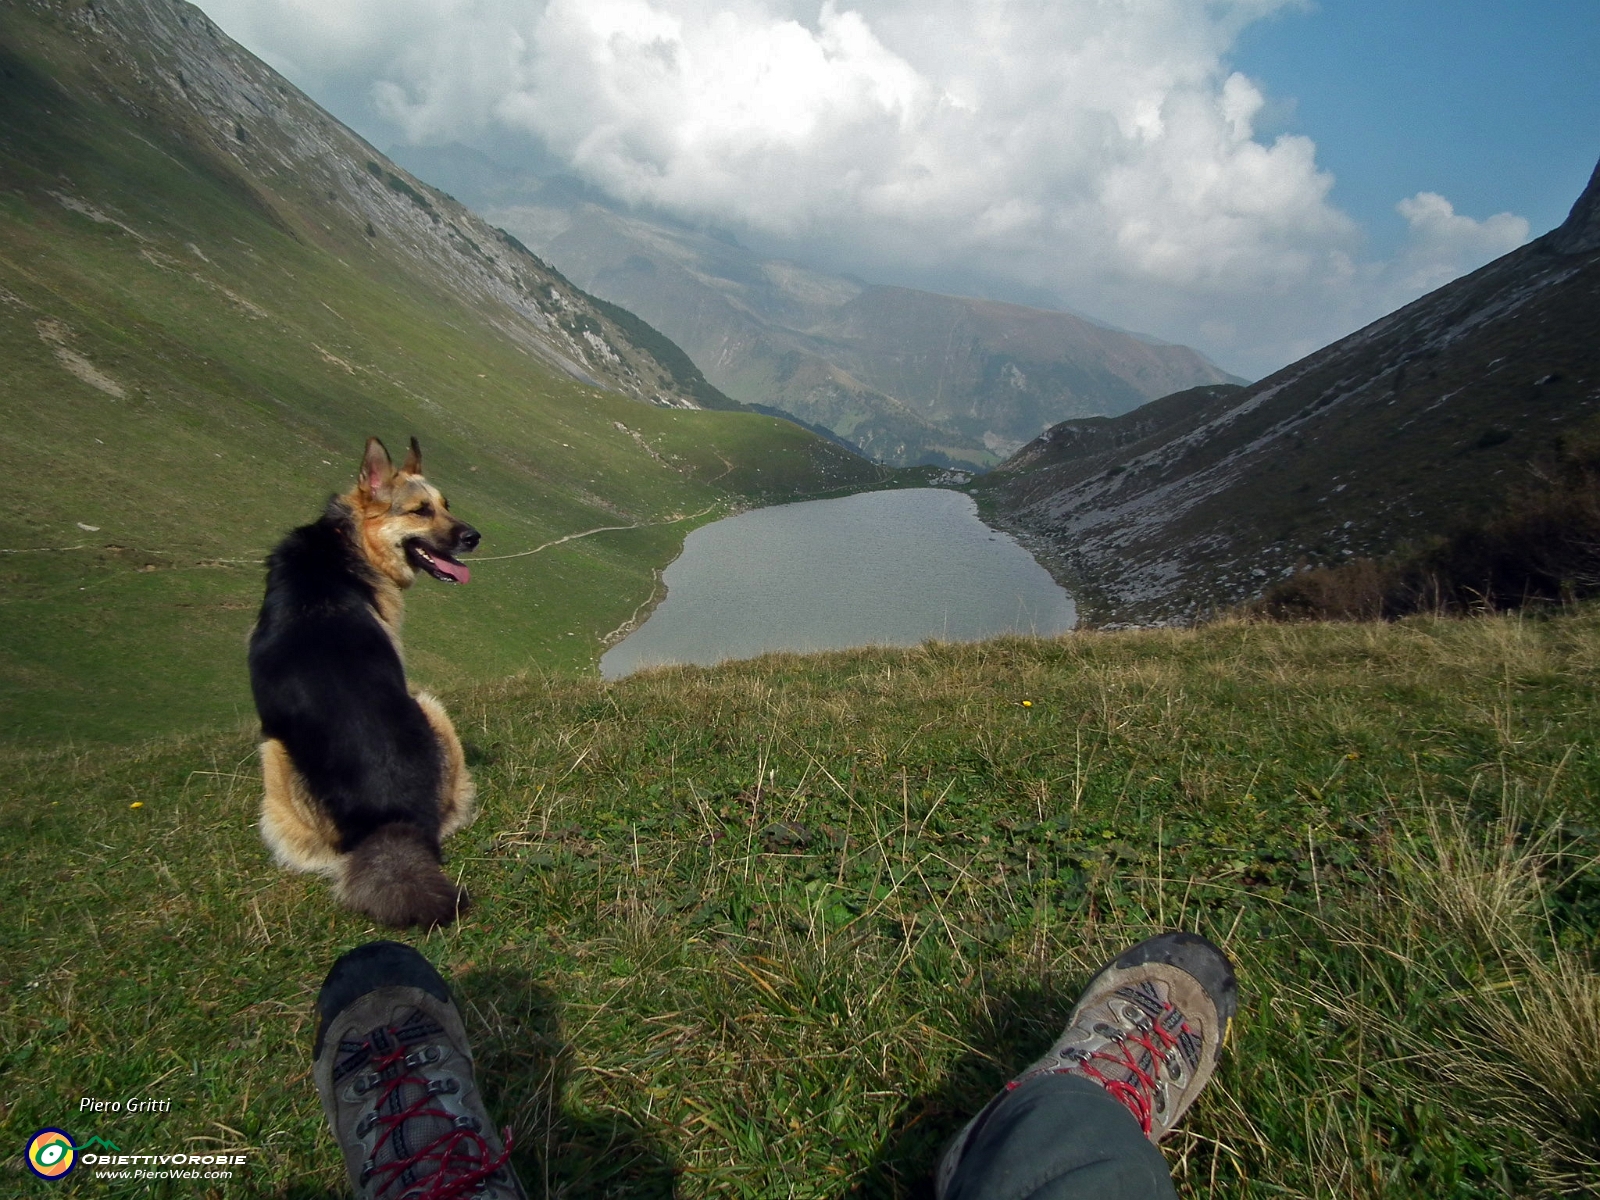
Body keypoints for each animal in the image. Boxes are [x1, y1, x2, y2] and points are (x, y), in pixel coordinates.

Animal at [246, 438, 476, 928]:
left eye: (446, 505)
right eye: (421, 510)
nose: (474, 537)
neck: (350, 543)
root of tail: (388, 818)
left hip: (281, 751)